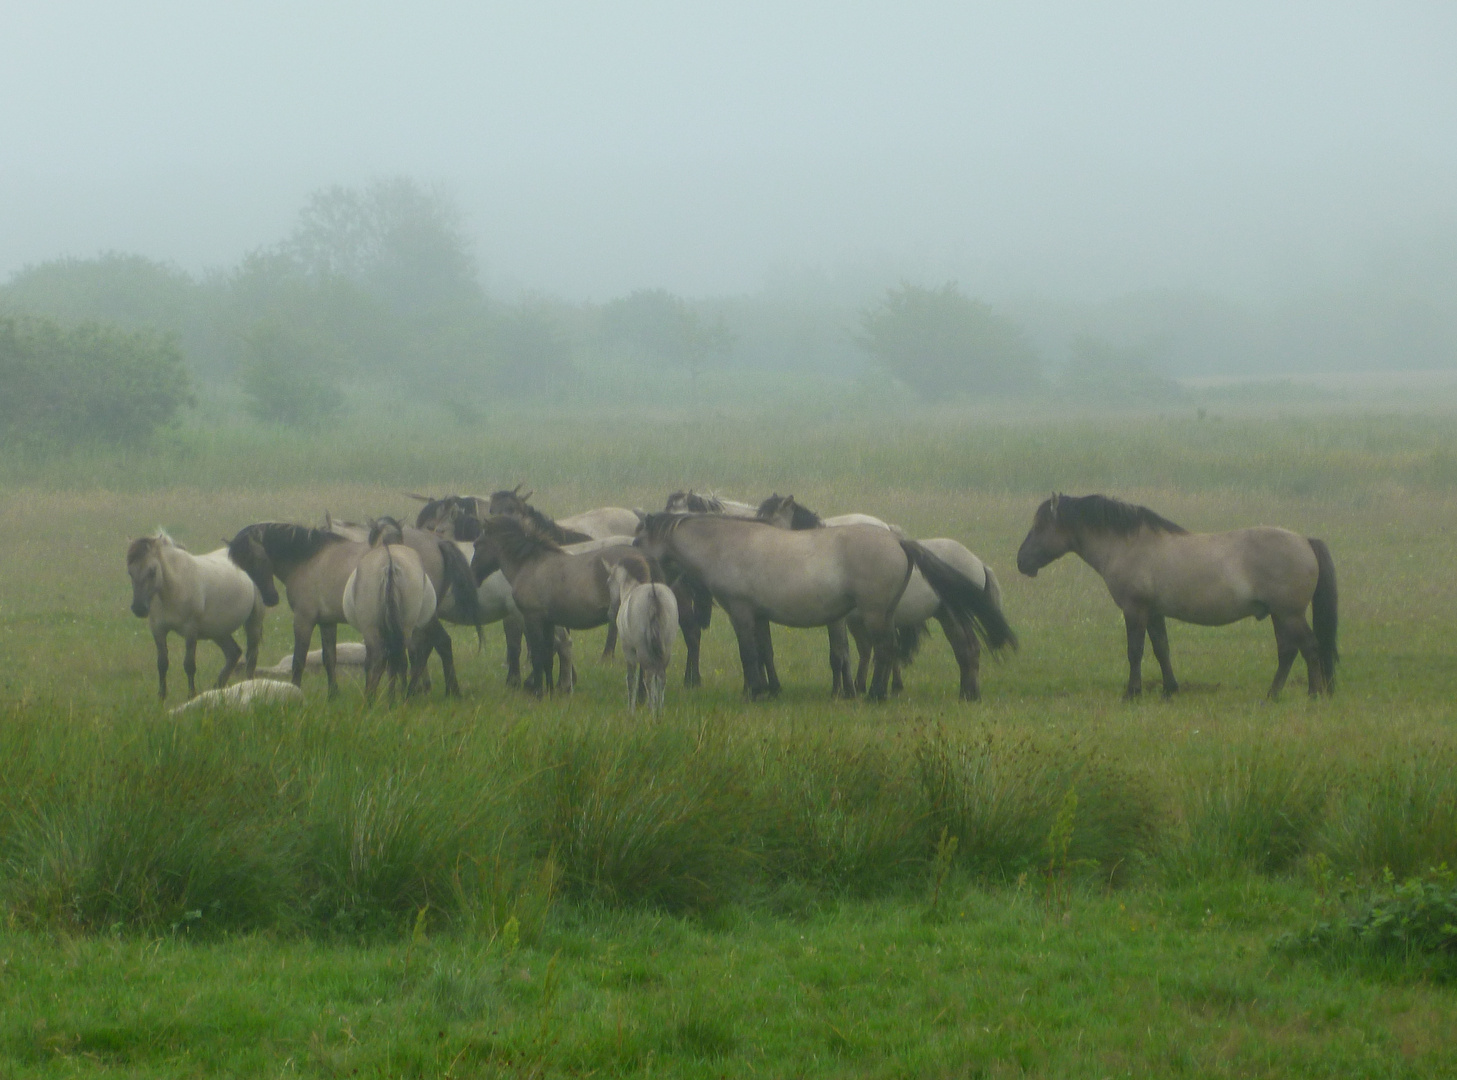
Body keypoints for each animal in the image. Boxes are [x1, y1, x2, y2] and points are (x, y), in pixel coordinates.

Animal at [126, 530, 266, 699]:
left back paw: (249, 686)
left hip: (253, 623)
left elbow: (189, 665)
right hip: (218, 631)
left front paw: (191, 695)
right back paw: (217, 688)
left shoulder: (190, 631)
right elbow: (162, 663)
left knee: (251, 657)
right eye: (130, 572)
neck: (173, 588)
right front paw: (161, 697)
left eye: (152, 571)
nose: (139, 608)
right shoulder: (158, 630)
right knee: (233, 653)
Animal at [609, 559, 676, 711]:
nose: (610, 611)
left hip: (643, 650)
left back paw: (652, 709)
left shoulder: (629, 650)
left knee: (649, 677)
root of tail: (654, 594)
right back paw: (659, 710)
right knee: (661, 677)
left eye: (608, 581)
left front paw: (631, 710)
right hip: (666, 648)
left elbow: (631, 679)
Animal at [638, 513, 1014, 699]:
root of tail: (899, 542)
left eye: (640, 538)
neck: (725, 545)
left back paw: (876, 694)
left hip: (879, 615)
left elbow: (749, 655)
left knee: (886, 650)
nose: (636, 560)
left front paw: (754, 691)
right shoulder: (759, 617)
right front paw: (767, 690)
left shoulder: (742, 613)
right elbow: (764, 653)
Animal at [757, 495, 1008, 702]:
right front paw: (849, 689)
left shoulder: (839, 620)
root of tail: (979, 563)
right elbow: (850, 653)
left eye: (768, 519)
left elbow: (839, 655)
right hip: (947, 617)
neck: (826, 556)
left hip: (953, 616)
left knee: (967, 648)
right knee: (965, 649)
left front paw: (841, 692)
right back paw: (967, 693)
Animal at [1014, 489, 1340, 699]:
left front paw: (1132, 693)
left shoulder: (1135, 610)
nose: (1020, 561)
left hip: (1289, 614)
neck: (1128, 545)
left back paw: (1313, 694)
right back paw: (1272, 694)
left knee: (1309, 647)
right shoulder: (1154, 612)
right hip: (1279, 615)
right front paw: (1170, 689)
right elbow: (1161, 649)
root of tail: (1305, 541)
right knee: (1287, 651)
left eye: (1039, 526)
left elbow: (1135, 651)